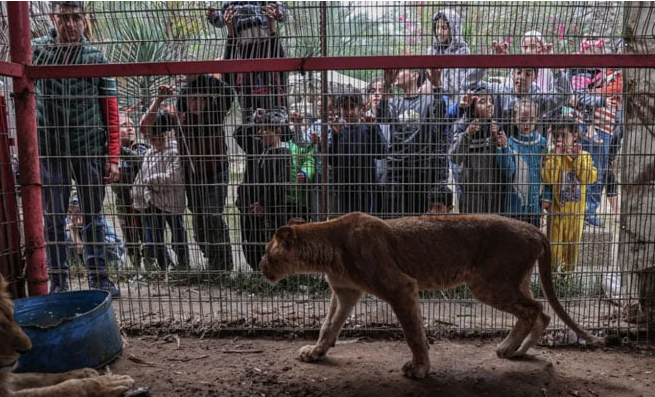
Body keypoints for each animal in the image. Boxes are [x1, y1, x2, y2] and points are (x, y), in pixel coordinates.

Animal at [258, 212, 608, 378]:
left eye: (266, 251)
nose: (260, 266)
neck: (327, 249)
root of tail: (535, 229)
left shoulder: (400, 286)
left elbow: (414, 333)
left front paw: (420, 369)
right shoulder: (346, 292)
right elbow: (328, 326)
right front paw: (315, 353)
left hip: (489, 283)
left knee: (535, 310)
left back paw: (513, 349)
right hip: (512, 281)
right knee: (539, 311)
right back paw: (515, 350)